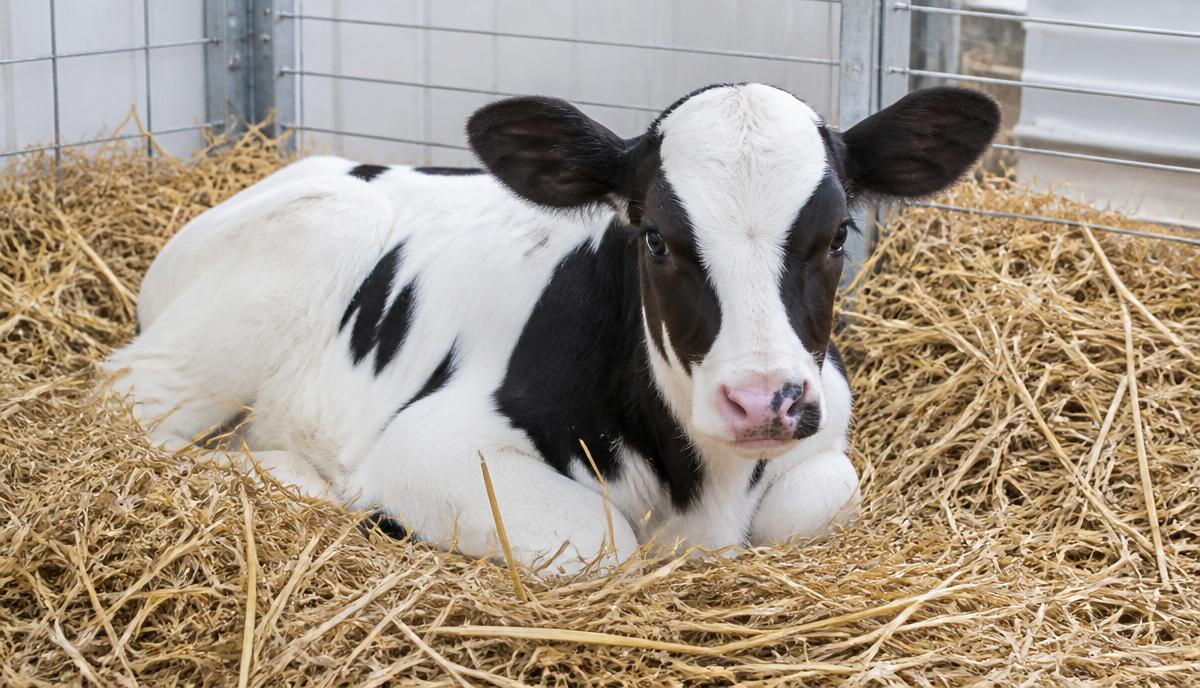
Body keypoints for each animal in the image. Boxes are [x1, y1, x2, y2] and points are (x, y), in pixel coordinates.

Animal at [102, 83, 999, 574]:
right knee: (125, 415)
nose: (763, 401)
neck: (704, 485)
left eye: (839, 234)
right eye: (655, 236)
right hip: (271, 279)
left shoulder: (824, 436)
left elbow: (824, 494)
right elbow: (600, 541)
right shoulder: (427, 444)